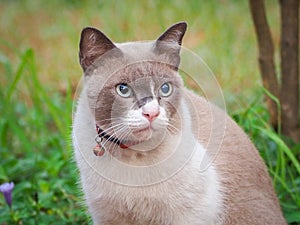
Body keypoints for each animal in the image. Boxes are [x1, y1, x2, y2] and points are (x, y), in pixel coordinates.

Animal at [72, 21, 286, 225]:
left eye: (165, 89)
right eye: (123, 89)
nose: (152, 113)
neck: (133, 155)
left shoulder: (189, 216)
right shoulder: (107, 217)